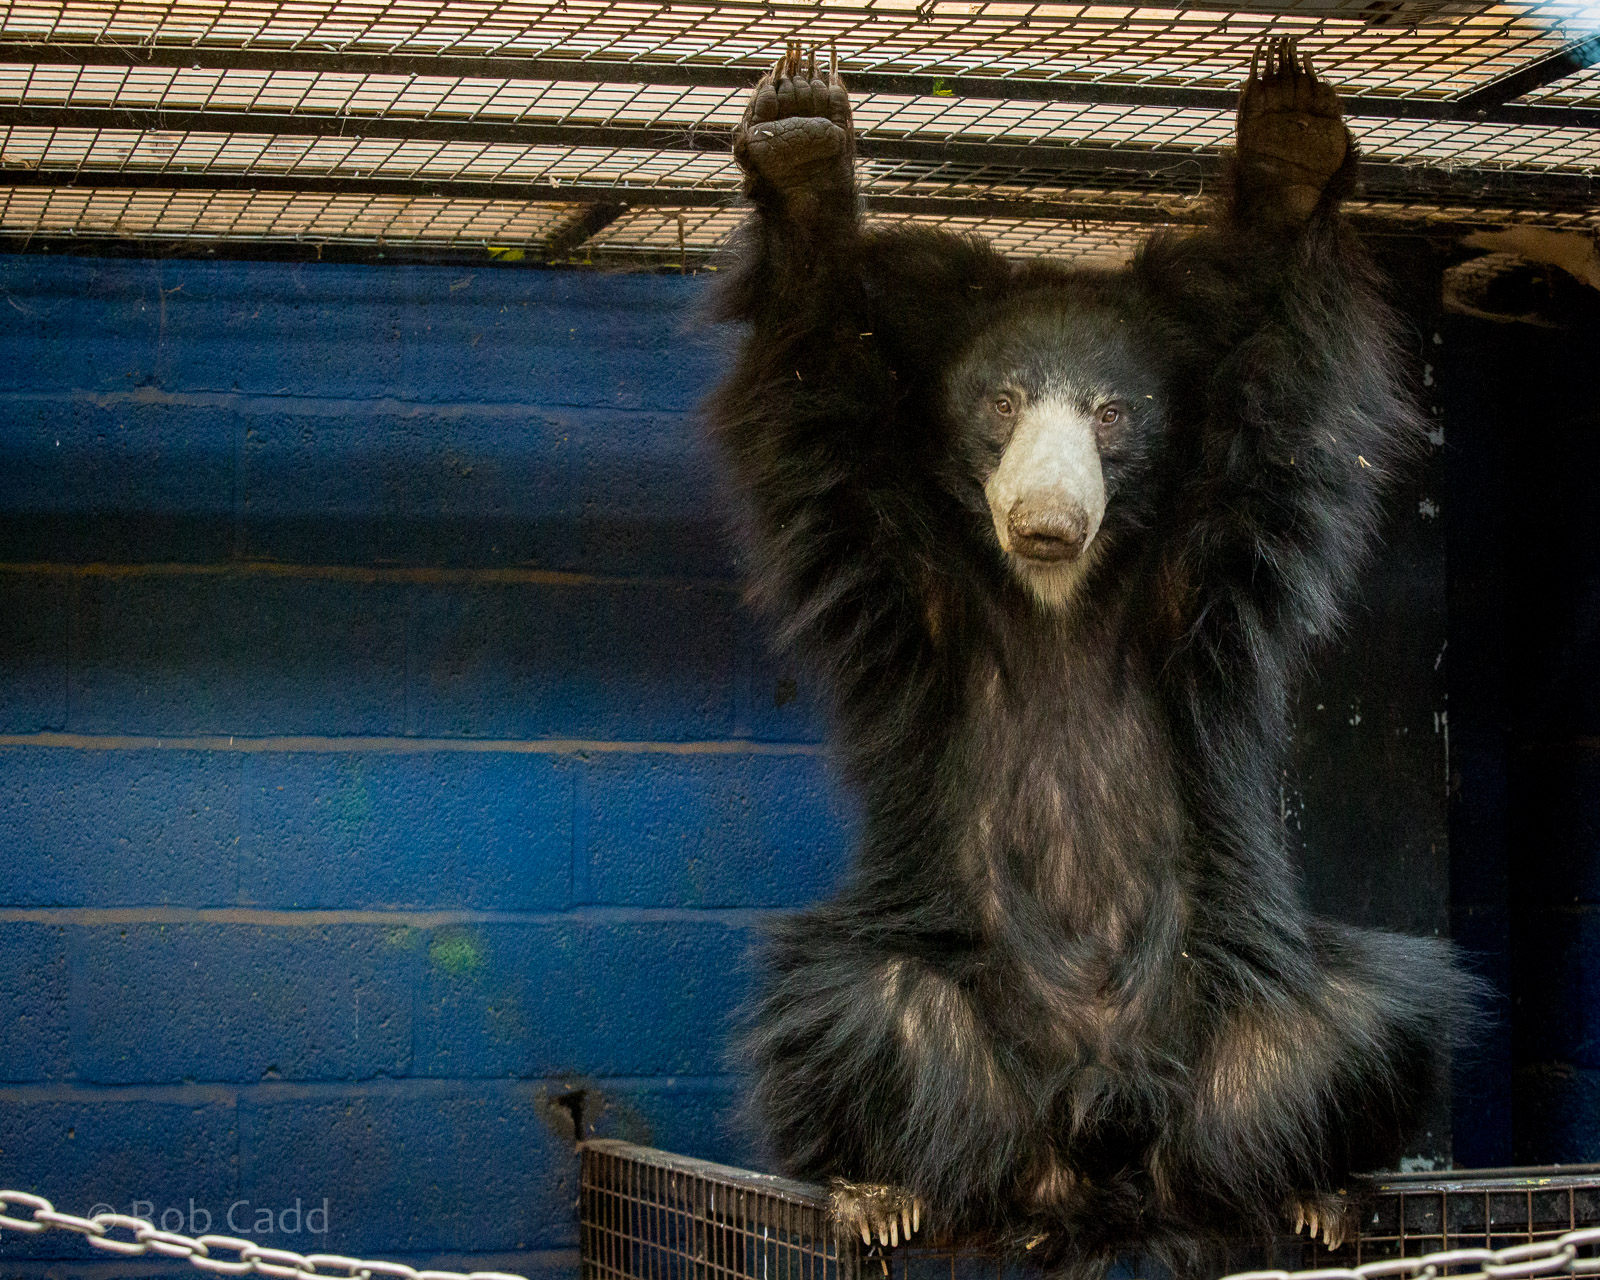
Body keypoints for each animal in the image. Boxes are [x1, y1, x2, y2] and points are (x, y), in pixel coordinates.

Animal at [707, 37, 1477, 1278]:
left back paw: (1311, 1191)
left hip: (1232, 1015)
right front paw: (803, 144)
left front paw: (1290, 139)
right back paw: (880, 1191)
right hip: (969, 1040)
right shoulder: (905, 573)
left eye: (1111, 415)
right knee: (867, 1006)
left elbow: (1285, 397)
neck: (1059, 596)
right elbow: (811, 383)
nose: (1047, 516)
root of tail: (1100, 1155)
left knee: (1353, 1018)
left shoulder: (1201, 569)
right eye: (1002, 401)